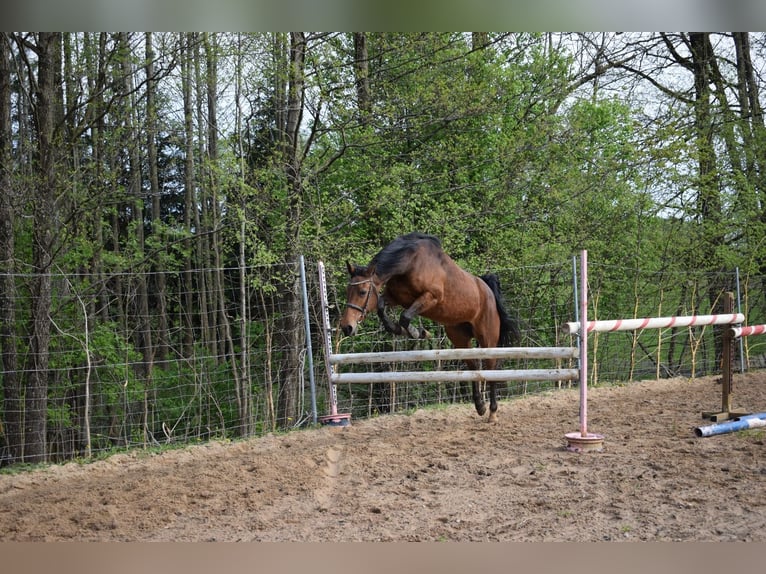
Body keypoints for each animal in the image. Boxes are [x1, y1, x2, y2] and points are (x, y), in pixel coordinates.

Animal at [340, 232, 520, 426]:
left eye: (362, 292)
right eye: (347, 291)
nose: (347, 327)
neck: (409, 263)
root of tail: (488, 291)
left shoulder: (430, 297)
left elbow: (405, 317)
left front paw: (417, 333)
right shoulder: (396, 298)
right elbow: (382, 307)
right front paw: (404, 331)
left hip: (487, 338)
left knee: (491, 367)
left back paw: (492, 412)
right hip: (459, 337)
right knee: (474, 365)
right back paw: (480, 406)